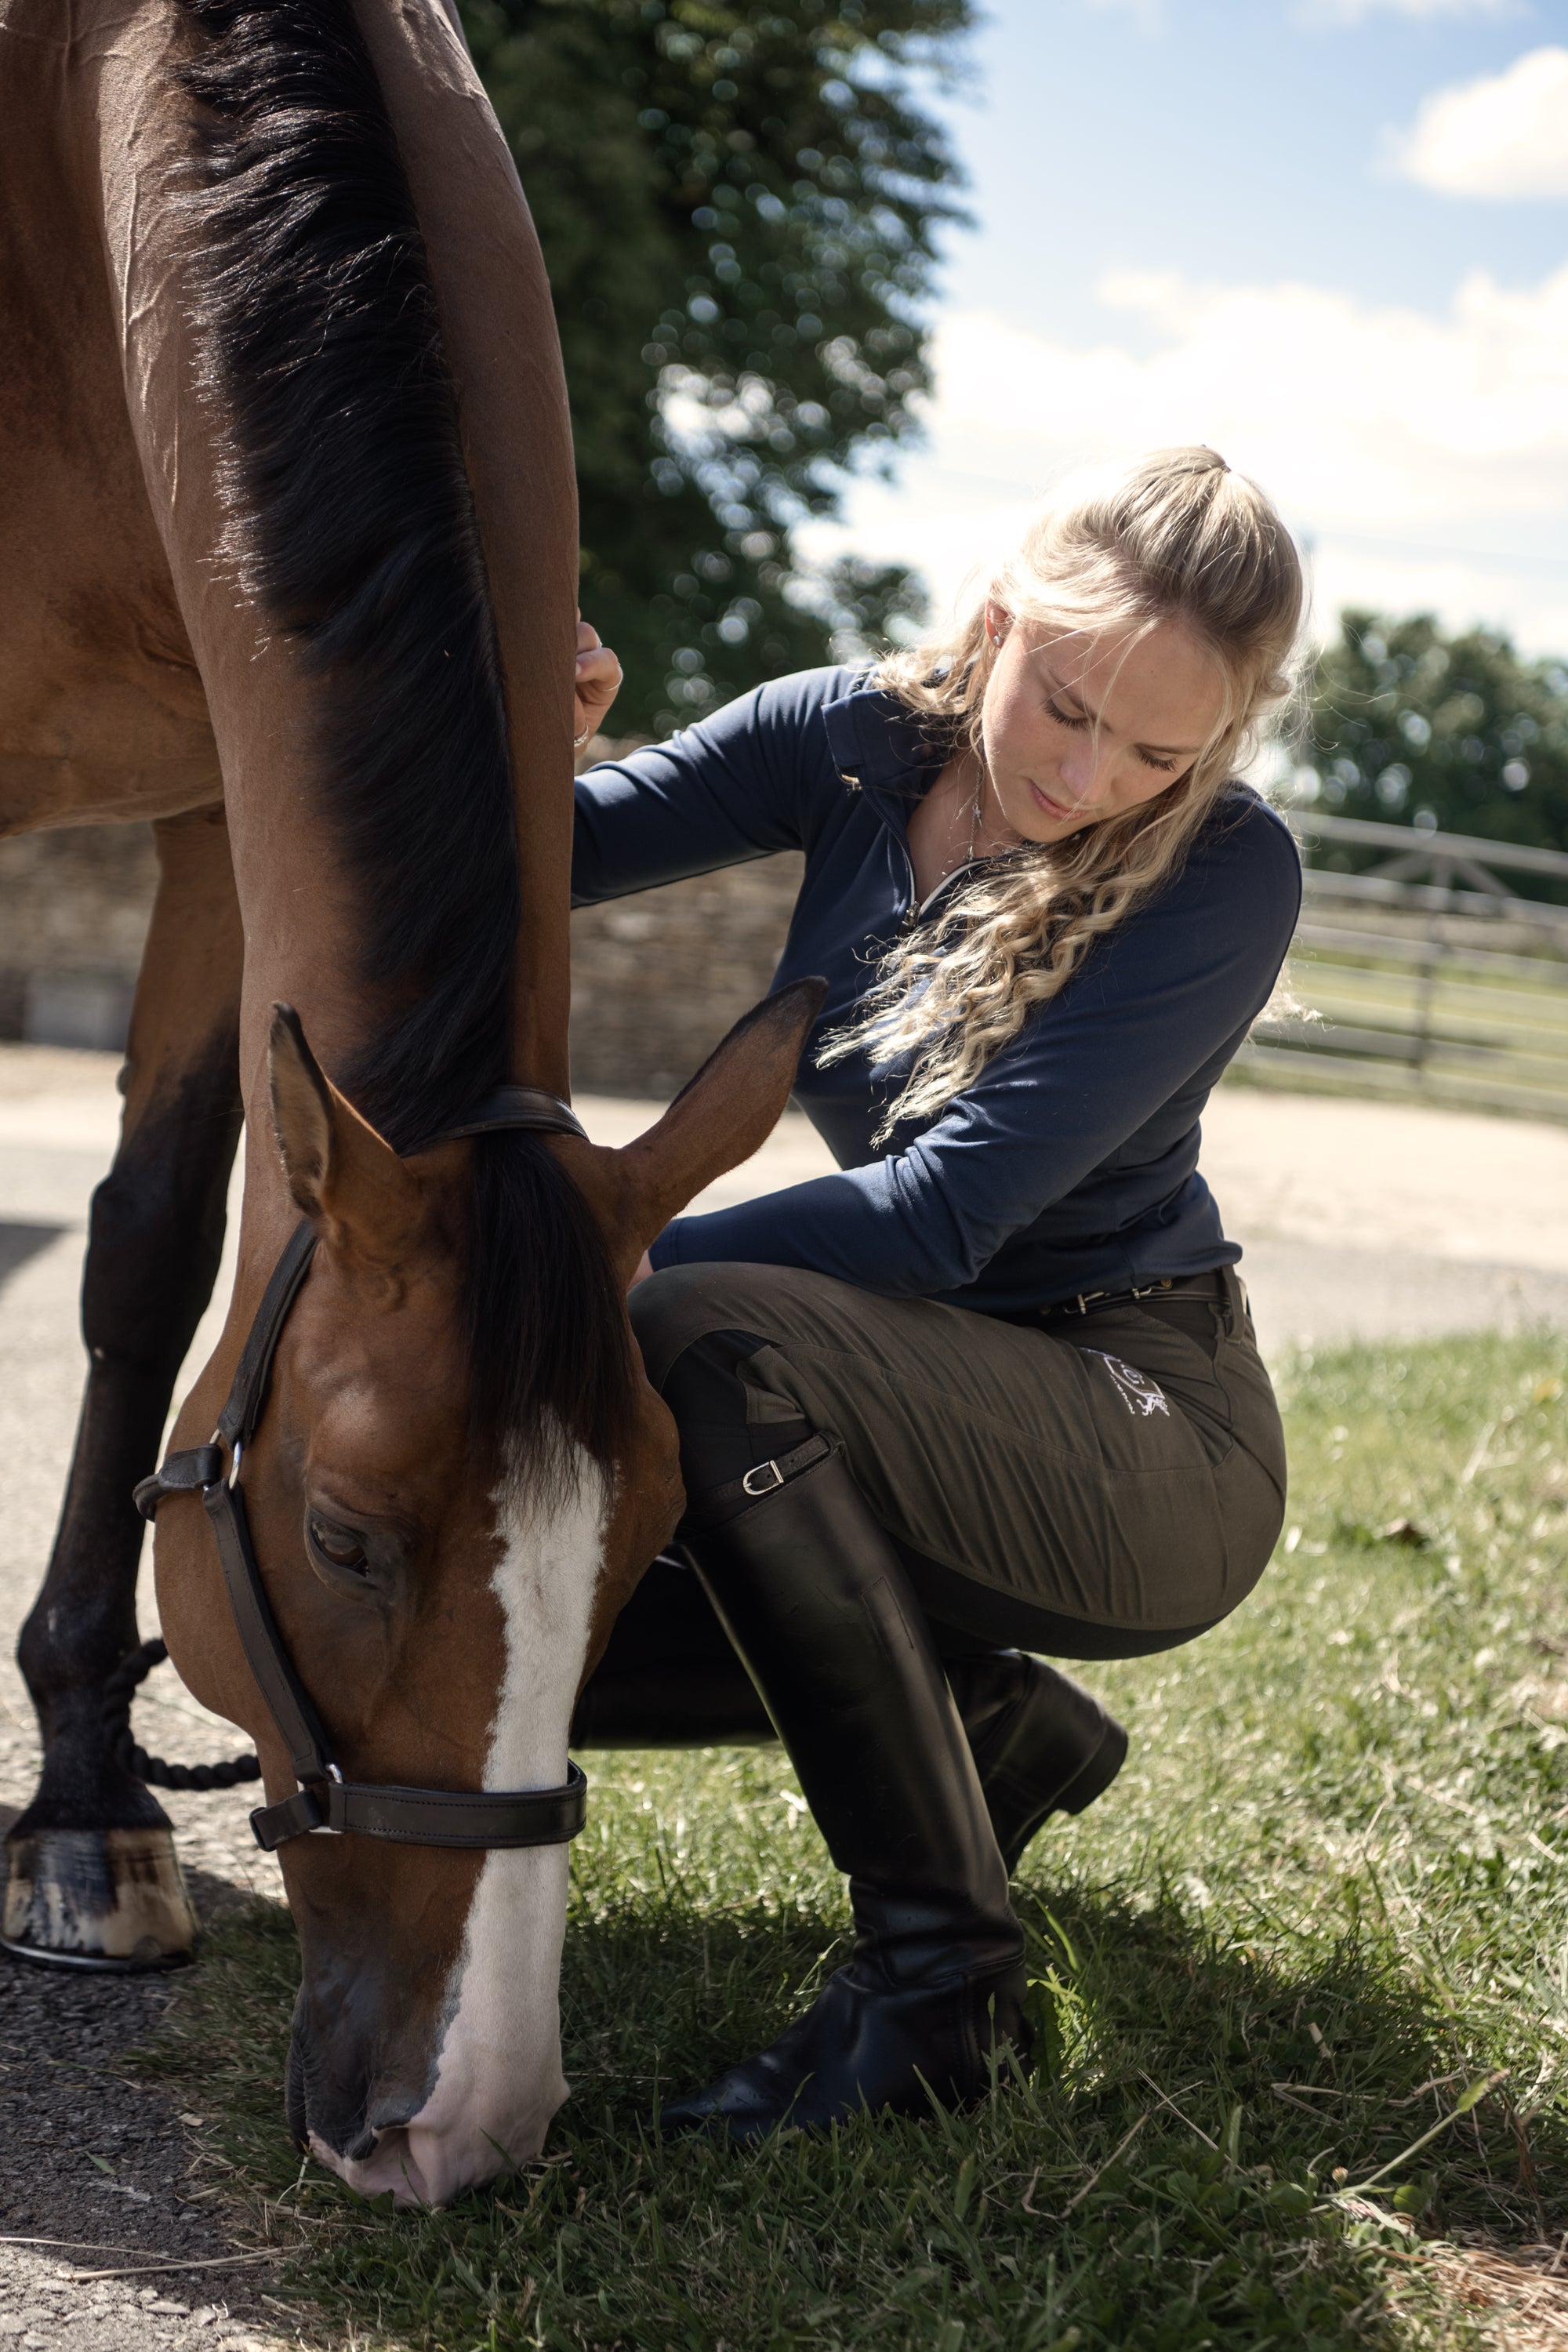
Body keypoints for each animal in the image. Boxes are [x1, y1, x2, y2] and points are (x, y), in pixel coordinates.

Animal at [0, 0, 818, 2201]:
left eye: (649, 1537)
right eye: (344, 1534)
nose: (462, 2123)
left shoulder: (220, 808)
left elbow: (147, 1255)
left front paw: (84, 1800)